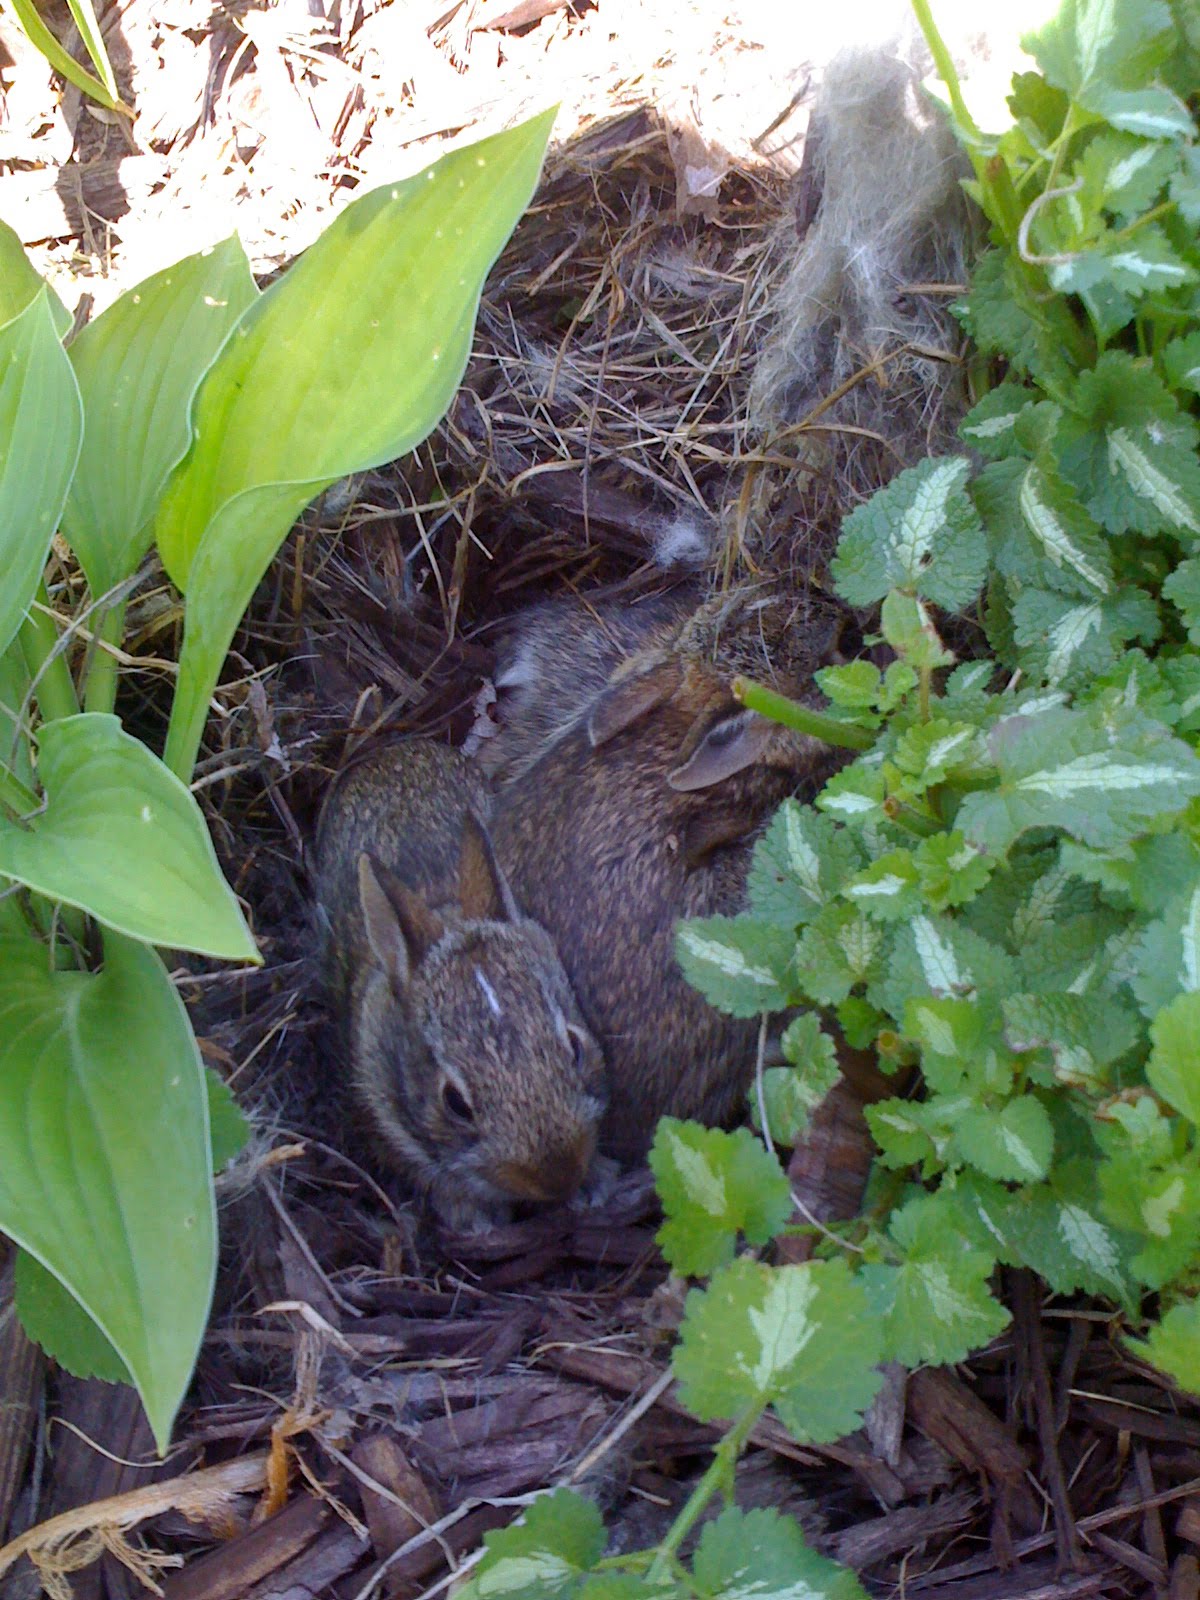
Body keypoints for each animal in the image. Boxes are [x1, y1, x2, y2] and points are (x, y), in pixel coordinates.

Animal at [313, 739, 609, 1231]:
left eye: (575, 1046)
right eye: (454, 1102)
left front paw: (593, 1185)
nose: (559, 1176)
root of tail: (390, 752)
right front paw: (475, 1220)